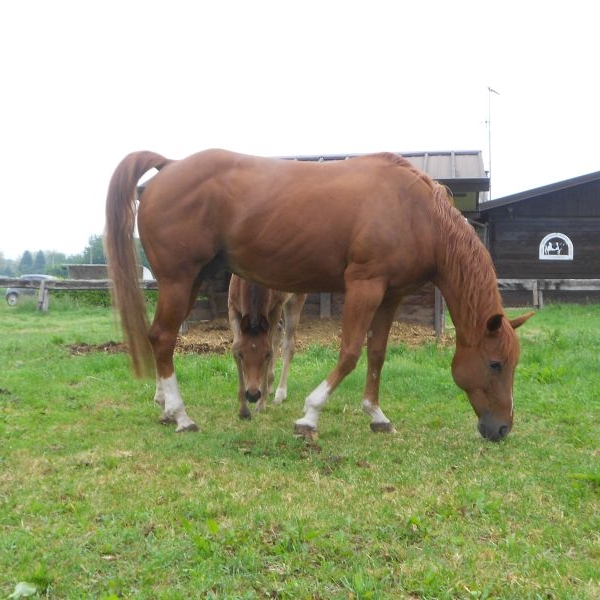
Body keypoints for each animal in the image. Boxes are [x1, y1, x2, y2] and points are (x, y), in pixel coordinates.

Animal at [229, 274, 308, 420]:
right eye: (242, 354)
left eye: (266, 355)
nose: (253, 395)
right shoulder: (232, 306)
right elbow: (235, 347)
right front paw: (243, 409)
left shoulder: (275, 308)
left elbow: (270, 346)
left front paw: (261, 404)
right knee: (279, 329)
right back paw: (270, 385)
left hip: (296, 298)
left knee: (289, 344)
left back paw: (280, 394)